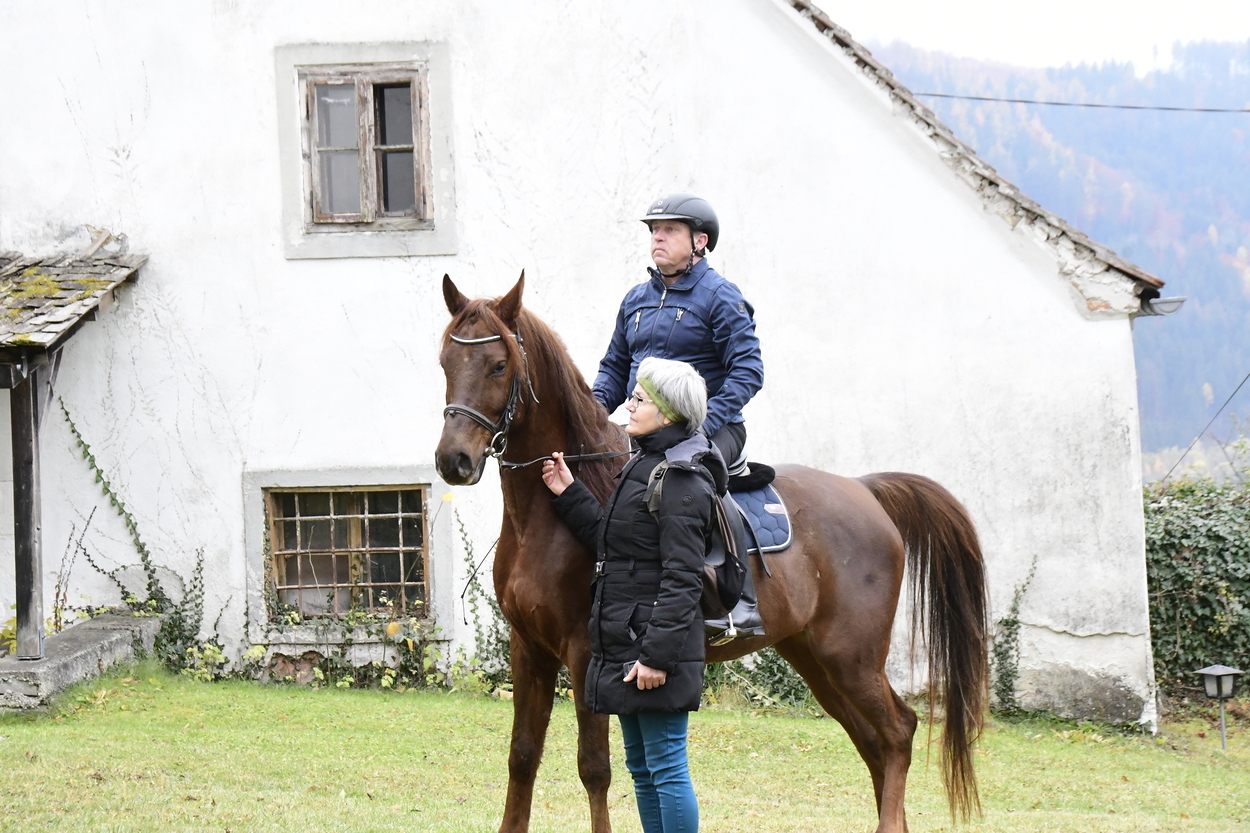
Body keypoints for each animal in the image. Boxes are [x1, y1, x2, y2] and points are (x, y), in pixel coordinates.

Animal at [434, 272, 989, 833]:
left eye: (498, 364)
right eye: (444, 362)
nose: (453, 460)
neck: (546, 519)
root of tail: (864, 490)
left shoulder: (586, 651)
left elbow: (594, 768)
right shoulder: (528, 648)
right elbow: (523, 755)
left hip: (851, 656)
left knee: (898, 732)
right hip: (815, 658)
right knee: (874, 743)